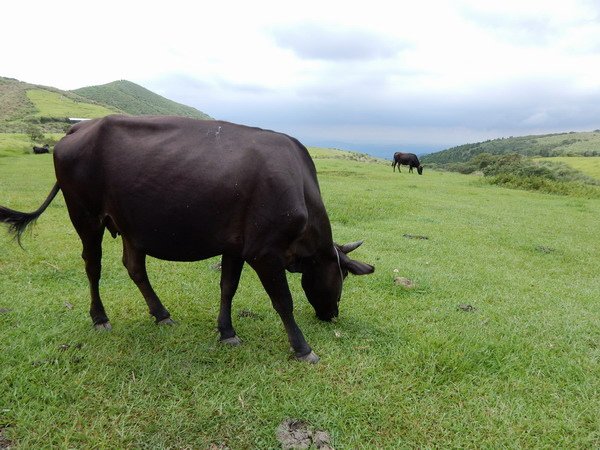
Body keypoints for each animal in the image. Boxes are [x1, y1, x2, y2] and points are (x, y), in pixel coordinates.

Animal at [1, 115, 376, 362]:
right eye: (342, 275)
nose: (332, 314)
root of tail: (80, 126)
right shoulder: (264, 251)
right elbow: (283, 301)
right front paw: (302, 349)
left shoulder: (236, 246)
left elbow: (227, 287)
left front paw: (227, 333)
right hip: (84, 215)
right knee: (93, 266)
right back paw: (100, 318)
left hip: (130, 224)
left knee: (134, 266)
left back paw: (161, 314)